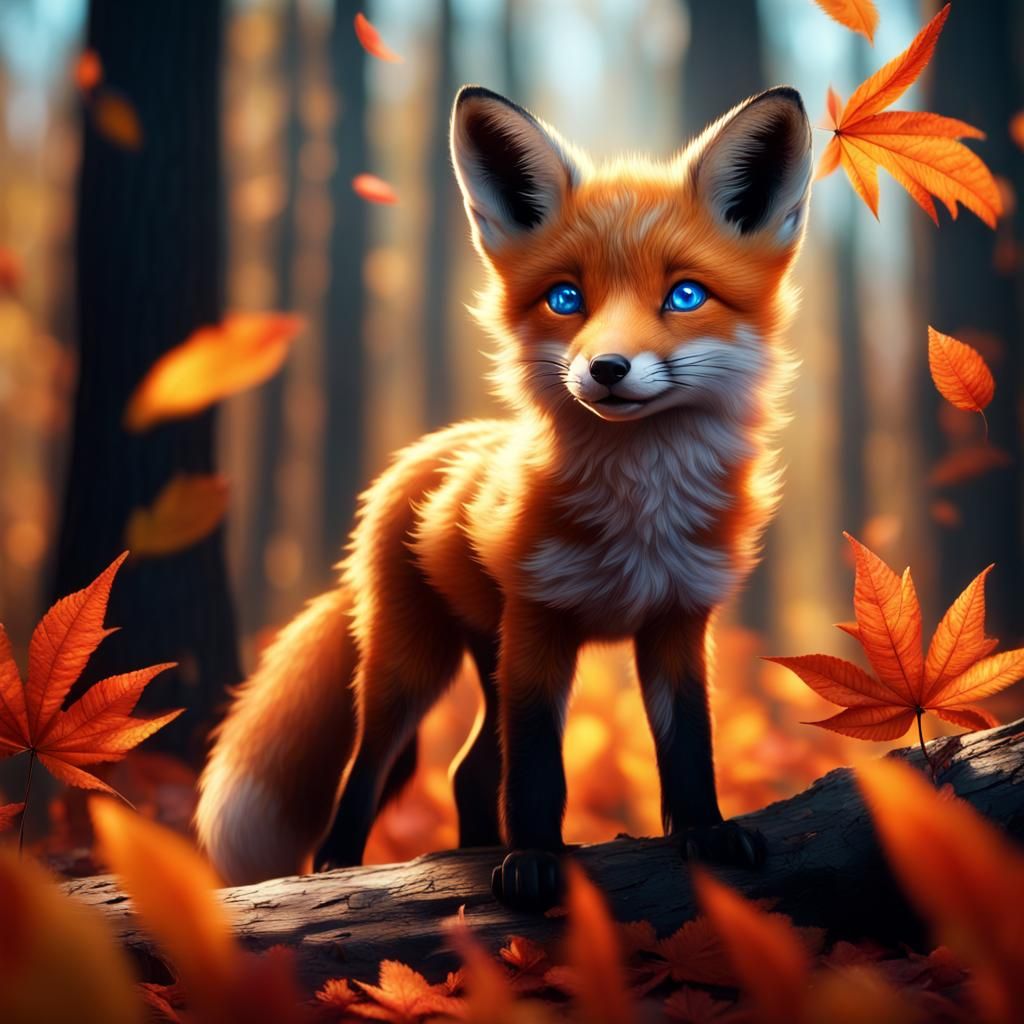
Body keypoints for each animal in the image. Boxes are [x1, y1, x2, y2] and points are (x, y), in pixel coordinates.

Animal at [196, 83, 813, 911]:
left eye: (685, 296)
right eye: (565, 298)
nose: (606, 369)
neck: (639, 513)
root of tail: (429, 448)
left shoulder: (677, 621)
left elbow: (689, 750)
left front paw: (704, 835)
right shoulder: (539, 623)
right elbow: (538, 773)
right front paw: (536, 863)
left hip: (486, 658)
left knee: (465, 772)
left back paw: (469, 851)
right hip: (414, 662)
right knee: (369, 768)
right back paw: (341, 867)